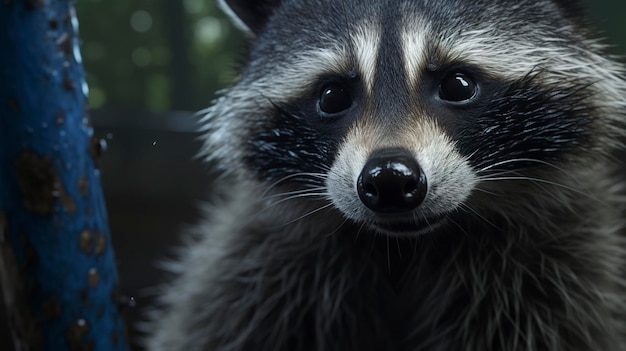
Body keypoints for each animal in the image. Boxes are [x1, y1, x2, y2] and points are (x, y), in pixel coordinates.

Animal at [144, 0, 624, 351]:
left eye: (458, 85)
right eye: (333, 95)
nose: (390, 178)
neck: (406, 250)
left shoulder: (560, 271)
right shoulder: (251, 273)